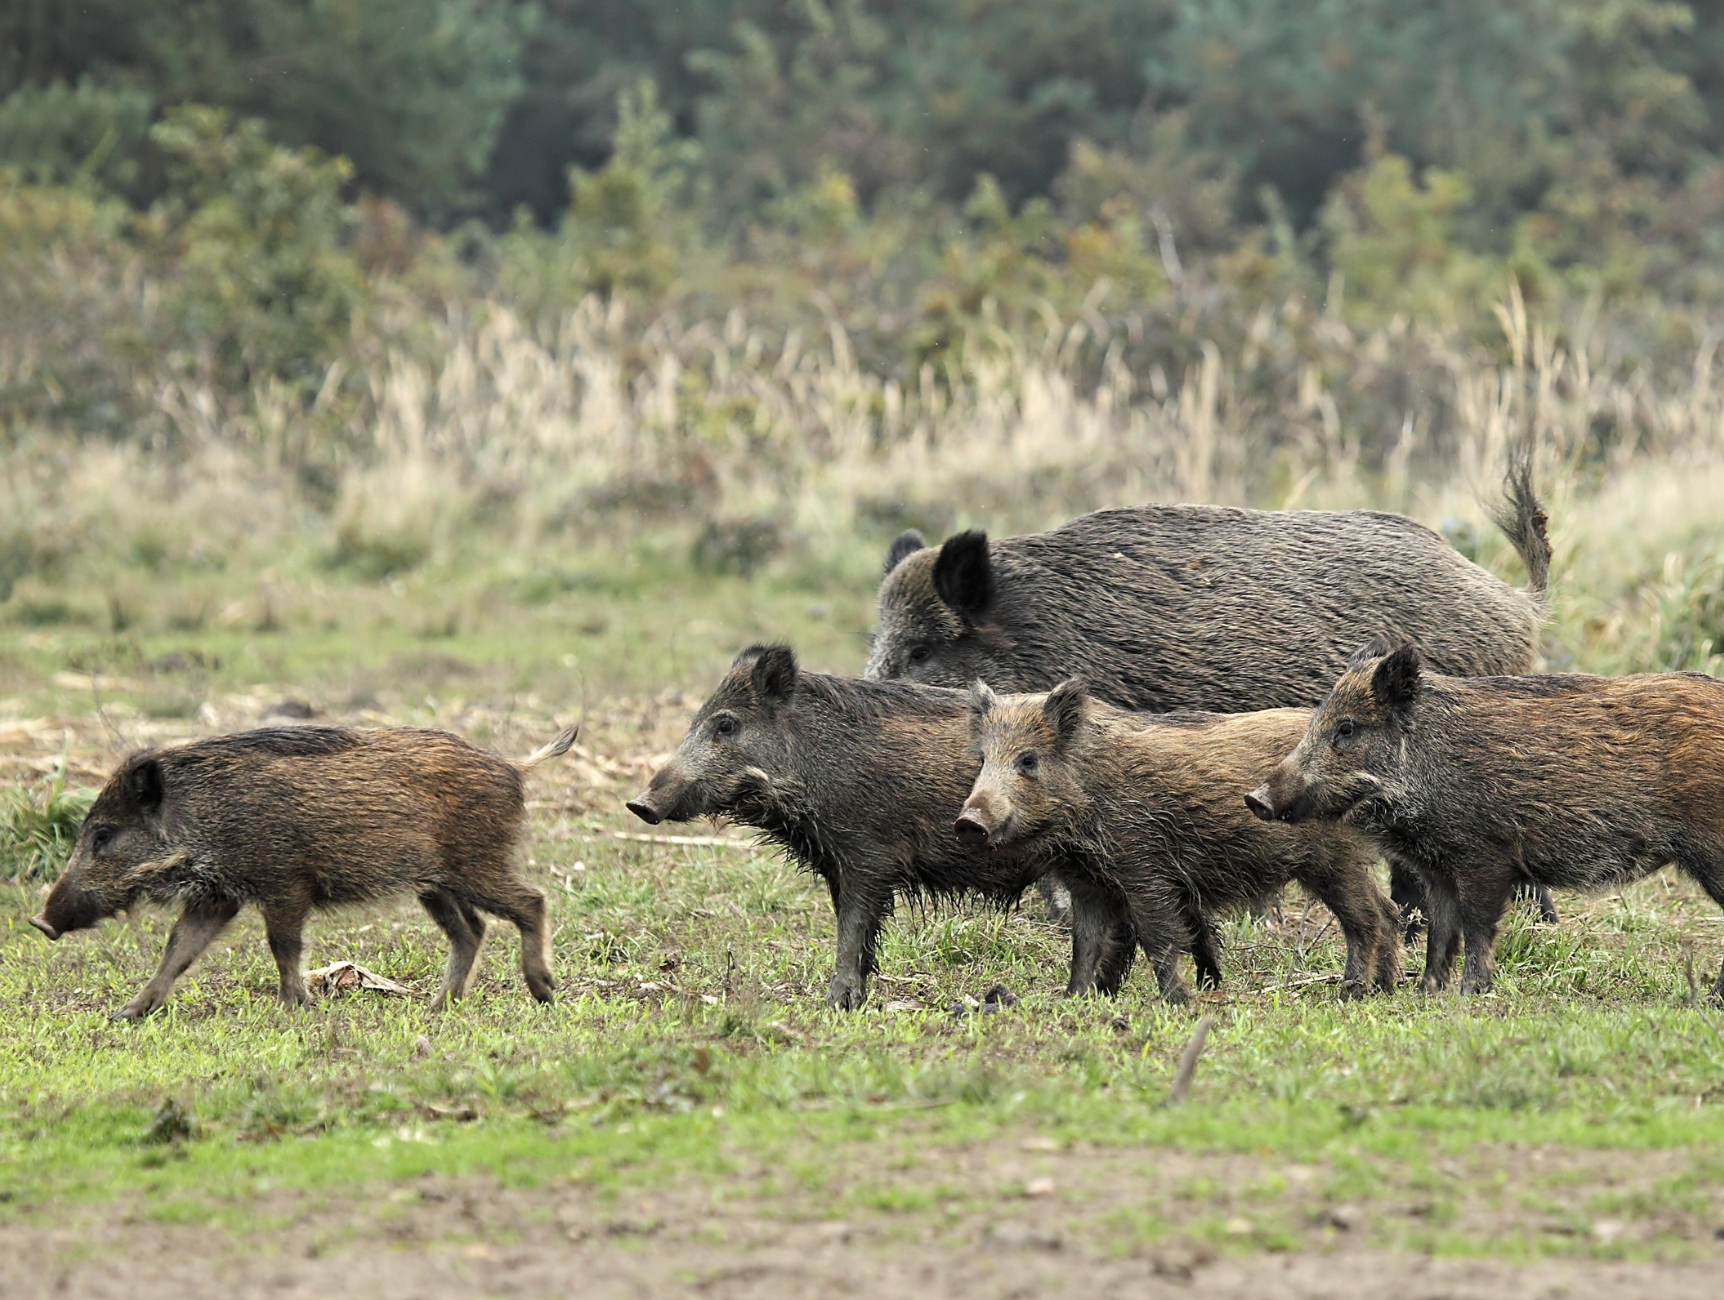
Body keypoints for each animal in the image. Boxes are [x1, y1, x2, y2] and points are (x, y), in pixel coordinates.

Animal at [32, 725, 575, 1019]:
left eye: (104, 835)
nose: (41, 922)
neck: (205, 818)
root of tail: (514, 767)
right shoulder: (217, 895)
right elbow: (177, 952)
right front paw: (125, 1014)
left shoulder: (285, 882)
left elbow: (282, 945)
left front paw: (294, 1008)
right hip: (435, 882)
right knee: (472, 930)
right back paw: (437, 1007)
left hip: (475, 863)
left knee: (532, 901)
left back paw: (543, 992)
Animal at [625, 644, 1140, 1008]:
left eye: (726, 725)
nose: (639, 804)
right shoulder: (838, 862)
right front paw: (853, 1000)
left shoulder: (867, 856)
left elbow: (851, 930)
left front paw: (833, 1004)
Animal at [959, 681, 1402, 1004]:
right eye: (982, 760)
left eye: (1028, 760)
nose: (968, 822)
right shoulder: (1089, 885)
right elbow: (1084, 944)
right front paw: (1074, 1000)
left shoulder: (1145, 870)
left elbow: (1159, 938)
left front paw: (1177, 1002)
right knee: (1389, 910)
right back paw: (1385, 989)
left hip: (1334, 860)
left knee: (1368, 918)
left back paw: (1350, 994)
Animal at [1245, 641, 1724, 999]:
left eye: (1346, 728)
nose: (1255, 799)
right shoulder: (1436, 869)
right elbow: (1441, 930)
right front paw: (1427, 992)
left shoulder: (1486, 857)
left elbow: (1477, 925)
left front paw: (1471, 992)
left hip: (1711, 848)